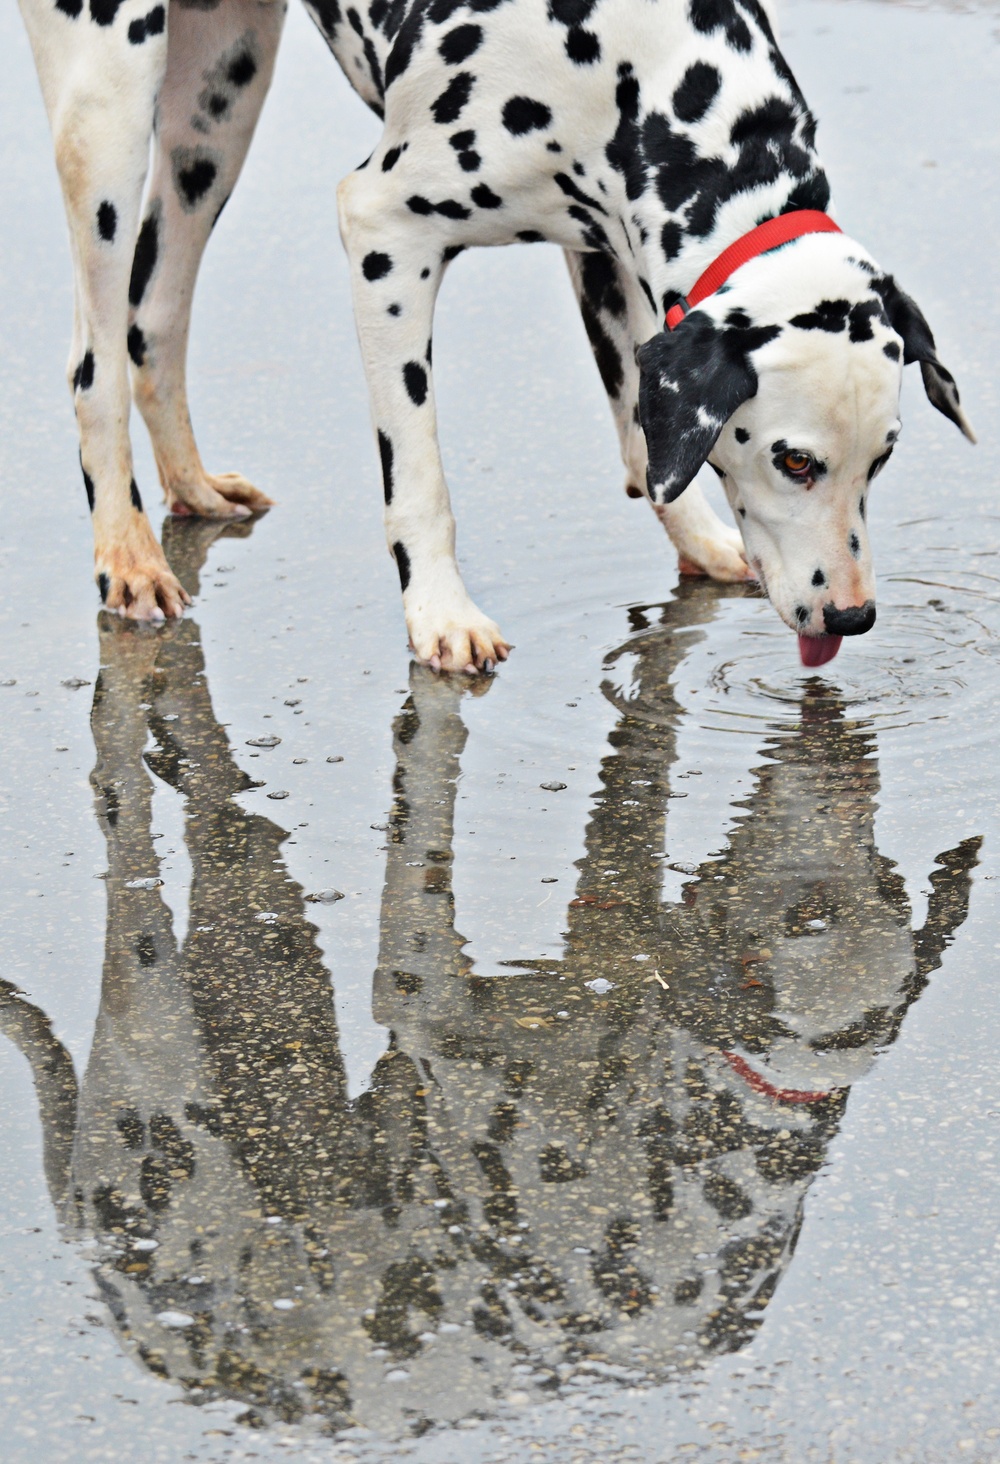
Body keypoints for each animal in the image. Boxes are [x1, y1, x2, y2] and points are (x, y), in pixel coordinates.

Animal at [25, 0, 978, 670]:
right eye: (794, 461)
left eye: (884, 457)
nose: (853, 615)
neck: (633, 58)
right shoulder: (385, 233)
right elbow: (418, 480)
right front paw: (440, 616)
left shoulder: (606, 247)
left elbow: (643, 445)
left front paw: (706, 547)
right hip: (110, 115)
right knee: (93, 360)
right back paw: (128, 552)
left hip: (217, 107)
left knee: (154, 318)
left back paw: (191, 488)